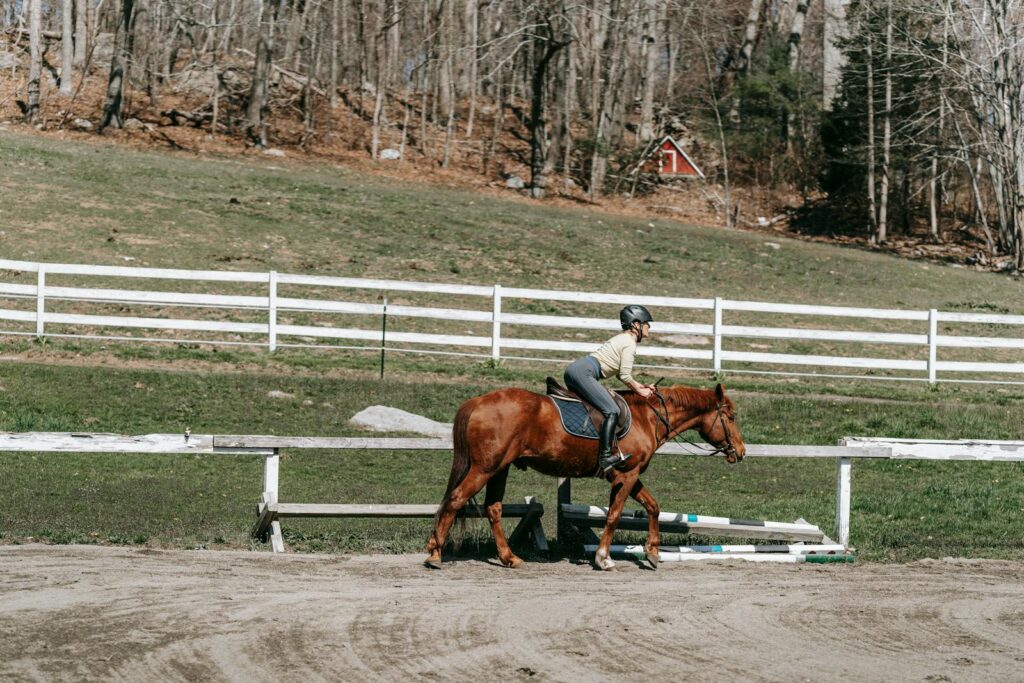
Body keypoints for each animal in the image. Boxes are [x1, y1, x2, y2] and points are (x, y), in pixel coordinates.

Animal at [425, 382, 746, 570]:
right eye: (730, 417)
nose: (741, 452)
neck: (648, 417)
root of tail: (477, 402)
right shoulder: (626, 475)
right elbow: (614, 516)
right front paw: (603, 558)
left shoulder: (628, 475)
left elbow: (653, 507)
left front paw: (653, 552)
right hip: (484, 468)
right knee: (455, 500)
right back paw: (436, 554)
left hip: (499, 469)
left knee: (493, 508)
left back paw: (508, 557)